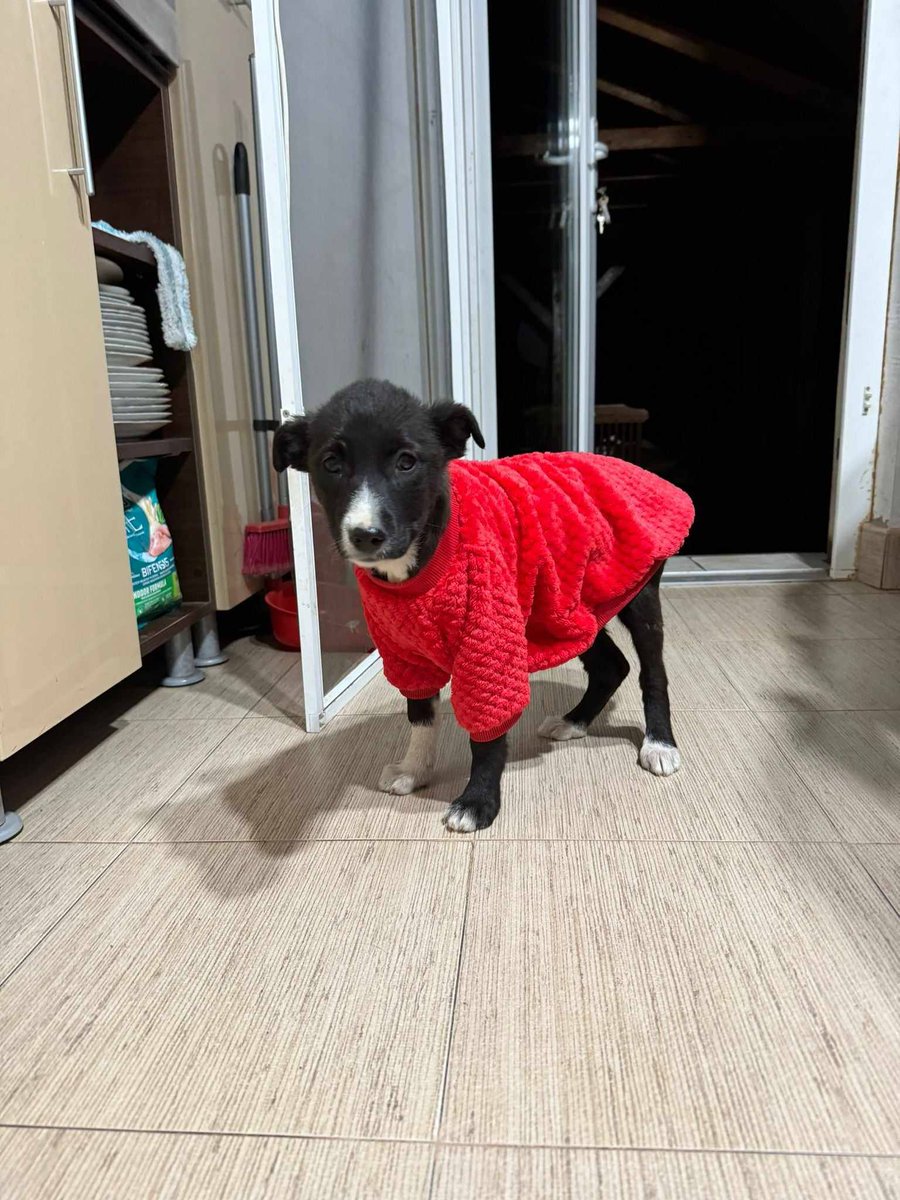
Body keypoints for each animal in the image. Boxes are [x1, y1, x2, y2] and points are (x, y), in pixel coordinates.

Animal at [271, 379, 681, 830]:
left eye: (407, 462)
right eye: (330, 464)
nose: (366, 535)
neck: (421, 561)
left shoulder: (487, 640)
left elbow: (486, 731)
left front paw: (477, 801)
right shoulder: (405, 651)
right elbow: (421, 714)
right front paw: (413, 770)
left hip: (637, 594)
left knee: (652, 673)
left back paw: (659, 744)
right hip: (568, 609)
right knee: (611, 665)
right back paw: (573, 721)